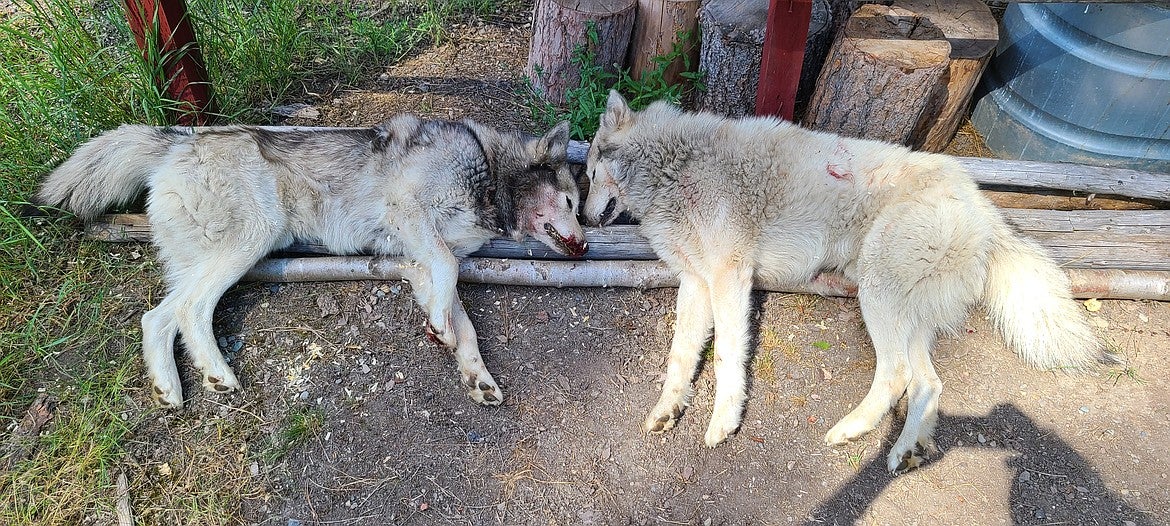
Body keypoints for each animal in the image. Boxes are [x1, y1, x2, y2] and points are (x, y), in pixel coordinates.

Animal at [41, 116, 589, 409]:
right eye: (569, 201)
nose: (585, 246)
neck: (489, 173)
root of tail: (176, 140)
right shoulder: (414, 219)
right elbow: (450, 279)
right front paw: (441, 329)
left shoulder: (418, 259)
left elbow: (462, 318)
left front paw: (474, 371)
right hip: (252, 240)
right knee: (189, 310)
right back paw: (218, 374)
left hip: (207, 257)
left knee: (155, 317)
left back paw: (169, 390)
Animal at [585, 92, 1104, 474]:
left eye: (588, 173)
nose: (585, 222)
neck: (674, 166)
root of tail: (985, 210)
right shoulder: (696, 282)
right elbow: (680, 358)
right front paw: (667, 411)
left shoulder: (731, 278)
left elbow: (726, 357)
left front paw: (723, 423)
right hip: (902, 314)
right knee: (928, 383)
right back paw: (906, 451)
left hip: (877, 294)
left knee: (897, 375)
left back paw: (852, 429)